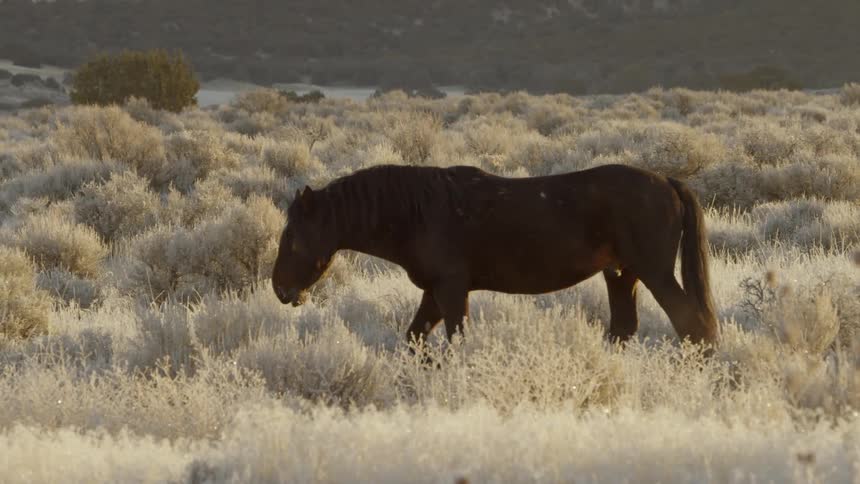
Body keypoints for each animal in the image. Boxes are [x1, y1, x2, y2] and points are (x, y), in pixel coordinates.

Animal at [272, 163, 719, 349]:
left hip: (655, 272)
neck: (417, 212)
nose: (279, 288)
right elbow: (415, 340)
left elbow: (455, 339)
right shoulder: (434, 293)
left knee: (693, 325)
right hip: (622, 275)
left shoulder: (451, 291)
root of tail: (668, 182)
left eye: (291, 235)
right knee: (625, 329)